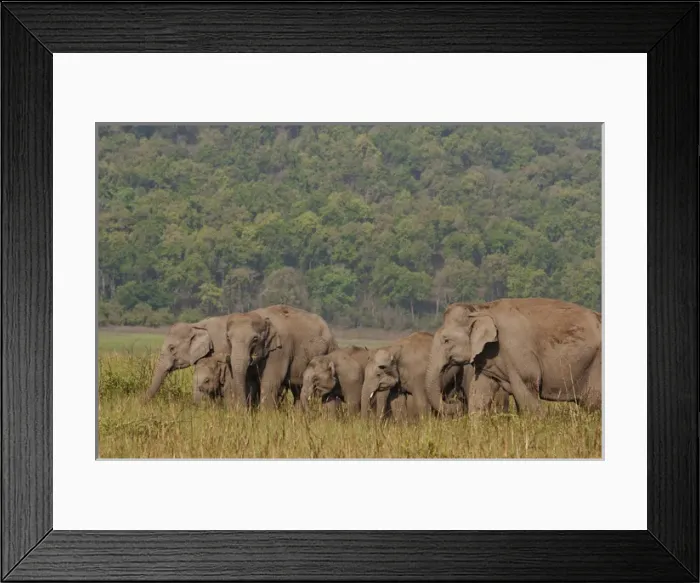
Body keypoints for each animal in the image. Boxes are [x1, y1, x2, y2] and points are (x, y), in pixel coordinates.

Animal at [424, 298, 602, 415]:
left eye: (446, 340)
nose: (455, 401)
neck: (482, 308)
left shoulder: (518, 351)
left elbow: (526, 393)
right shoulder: (488, 358)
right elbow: (479, 392)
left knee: (594, 403)